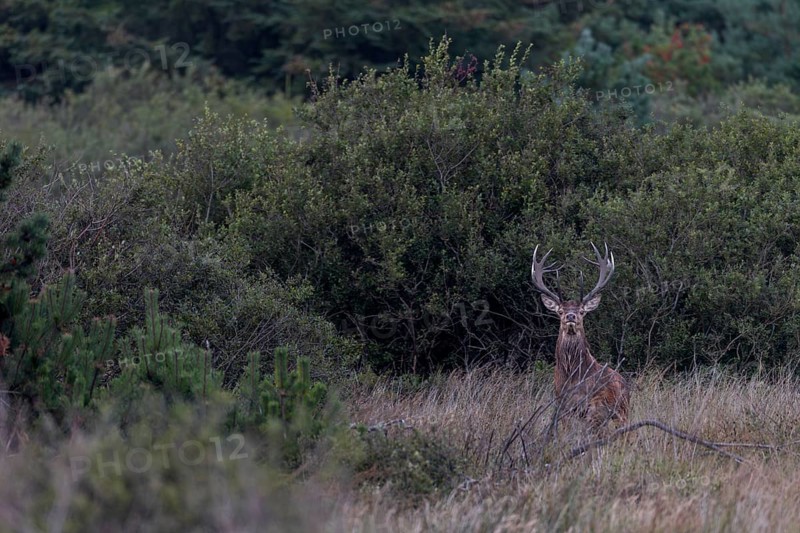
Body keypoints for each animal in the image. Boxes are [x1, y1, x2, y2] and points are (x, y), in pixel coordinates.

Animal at [531, 242, 629, 432]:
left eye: (582, 311)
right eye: (560, 311)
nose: (571, 316)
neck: (571, 377)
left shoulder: (588, 405)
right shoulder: (562, 405)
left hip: (618, 411)